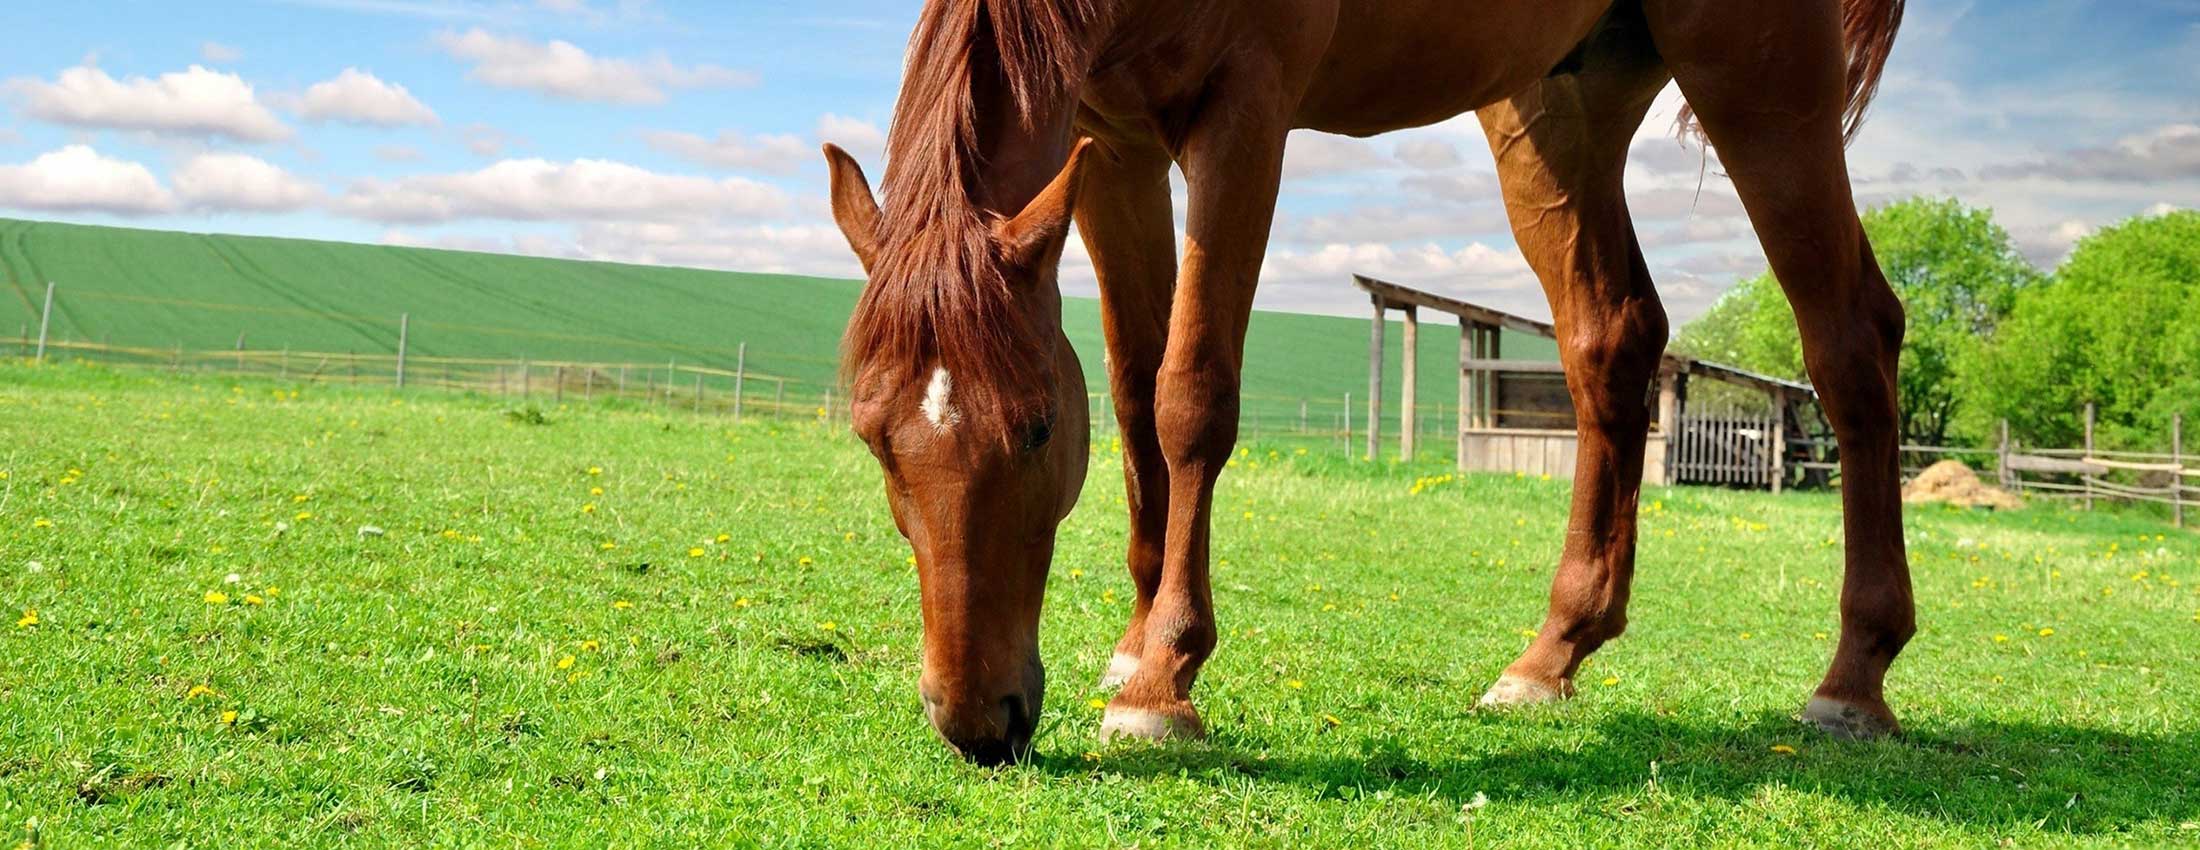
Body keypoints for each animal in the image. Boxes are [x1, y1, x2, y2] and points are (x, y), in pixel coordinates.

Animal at [827, 0, 1909, 761]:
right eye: (873, 439)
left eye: (1040, 428)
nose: (977, 722)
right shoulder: (1115, 144)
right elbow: (1136, 396)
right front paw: (1137, 642)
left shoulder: (1245, 110)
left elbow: (1190, 395)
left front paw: (1162, 680)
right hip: (1559, 108)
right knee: (1613, 340)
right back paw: (1552, 653)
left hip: (1760, 77)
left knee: (1853, 337)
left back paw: (1854, 678)